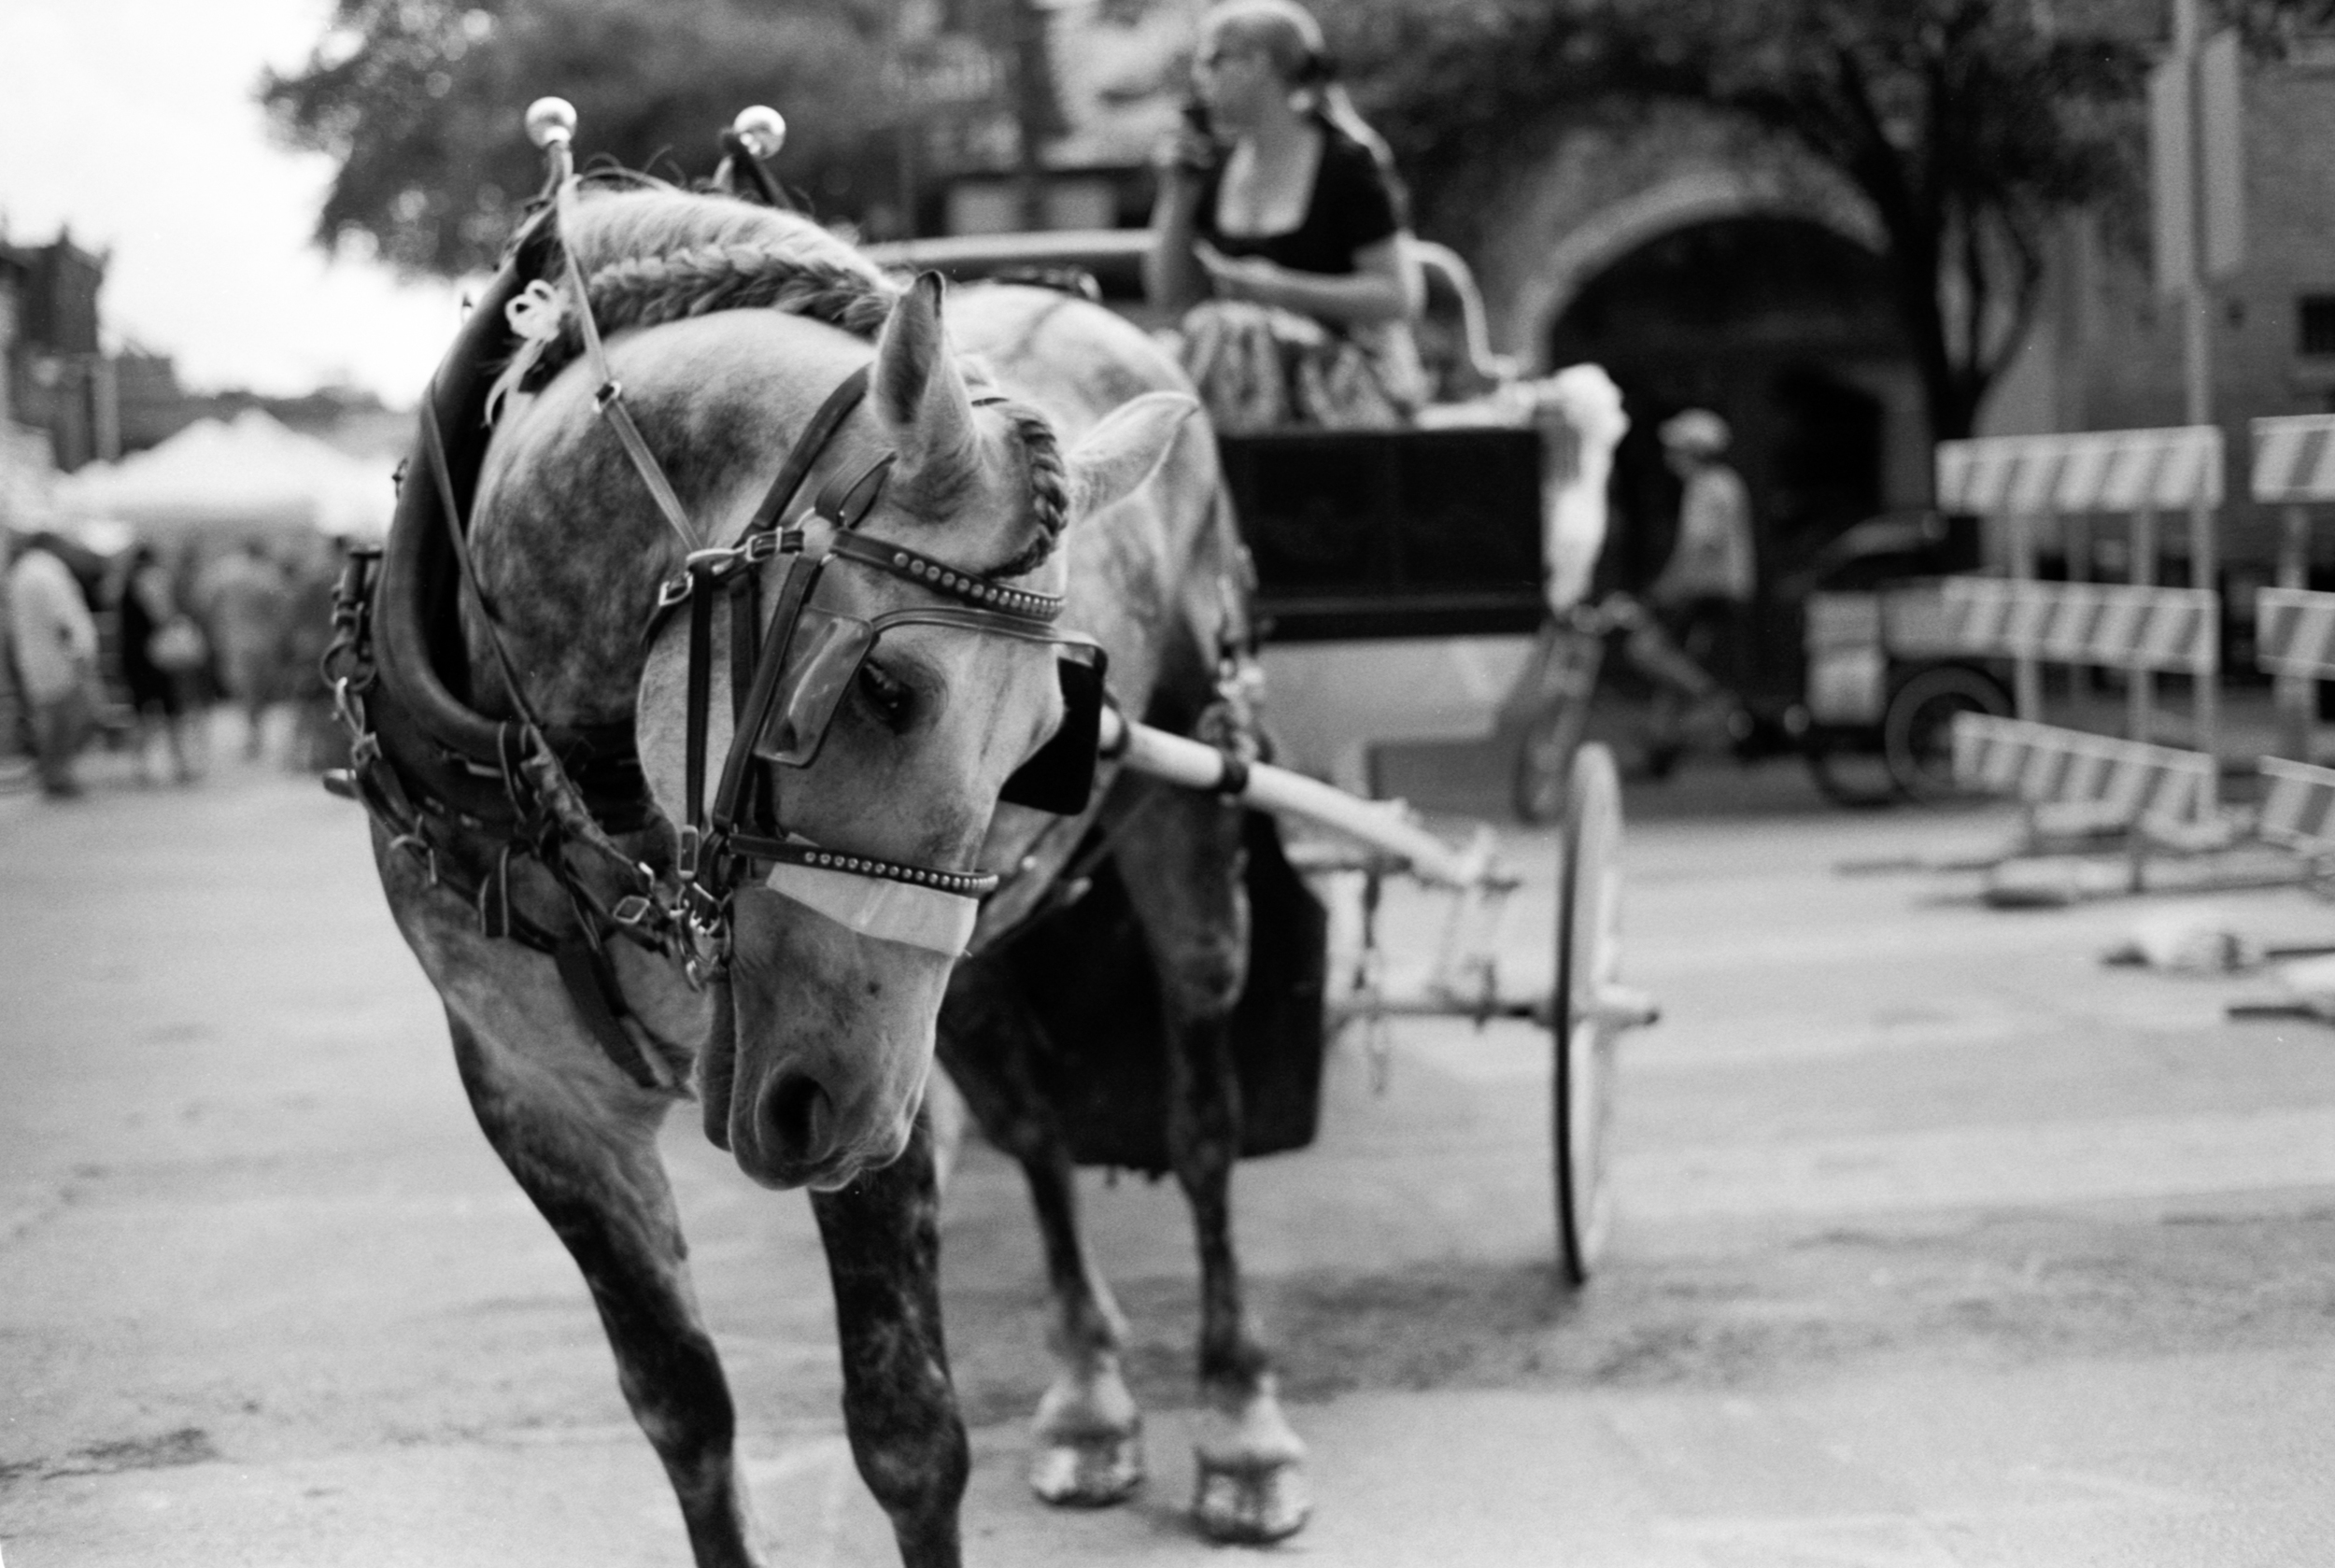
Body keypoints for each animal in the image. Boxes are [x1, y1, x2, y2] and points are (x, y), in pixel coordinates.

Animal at [346, 173, 1204, 1568]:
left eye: (1051, 737)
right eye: (879, 683)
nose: (837, 1112)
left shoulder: (867, 1086)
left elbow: (909, 1434)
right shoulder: (538, 1094)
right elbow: (681, 1405)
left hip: (1181, 836)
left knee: (1205, 1122)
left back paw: (1244, 1431)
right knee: (1033, 1120)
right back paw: (1088, 1393)